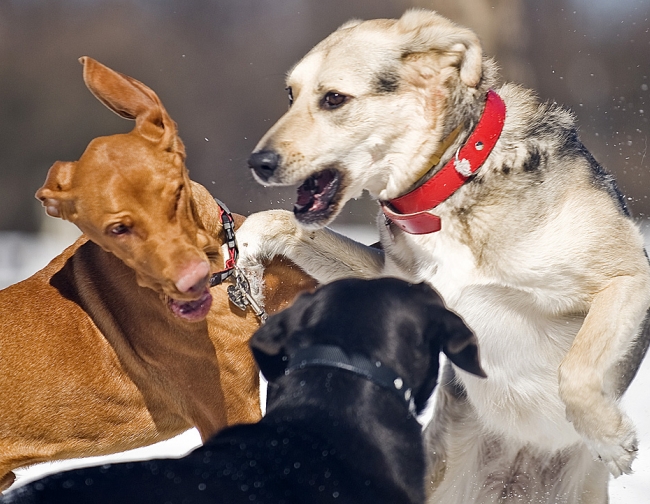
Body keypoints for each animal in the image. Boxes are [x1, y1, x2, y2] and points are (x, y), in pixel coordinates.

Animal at [237, 9, 650, 503]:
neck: (450, 185)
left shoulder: (628, 276)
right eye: (291, 94)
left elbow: (576, 370)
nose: (258, 162)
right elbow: (280, 224)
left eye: (334, 99)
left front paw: (611, 438)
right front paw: (244, 245)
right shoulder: (395, 281)